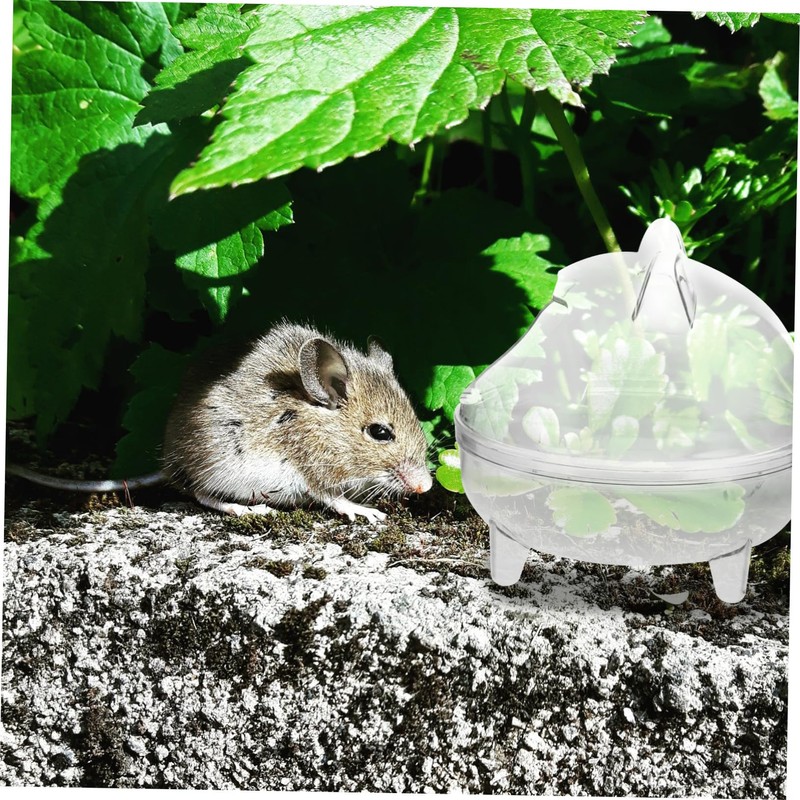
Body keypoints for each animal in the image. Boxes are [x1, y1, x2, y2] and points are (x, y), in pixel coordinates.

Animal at [9, 322, 433, 523]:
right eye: (380, 433)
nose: (426, 486)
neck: (317, 418)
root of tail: (171, 463)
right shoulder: (312, 470)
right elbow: (333, 498)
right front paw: (367, 512)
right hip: (224, 465)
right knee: (200, 494)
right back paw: (249, 510)